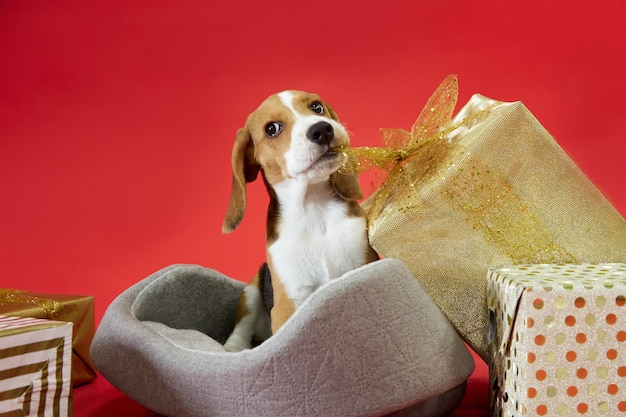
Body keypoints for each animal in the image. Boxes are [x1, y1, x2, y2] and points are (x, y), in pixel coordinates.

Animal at [222, 91, 376, 352]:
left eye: (316, 107)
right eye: (272, 128)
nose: (322, 129)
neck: (313, 210)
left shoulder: (363, 266)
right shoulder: (288, 303)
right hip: (252, 288)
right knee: (241, 329)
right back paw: (232, 349)